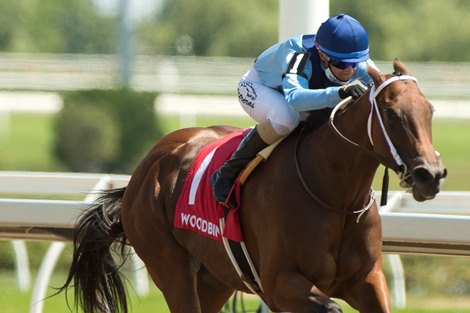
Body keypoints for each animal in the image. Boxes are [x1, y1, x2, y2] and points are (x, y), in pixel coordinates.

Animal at [60, 59, 446, 312]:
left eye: (430, 110)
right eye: (392, 114)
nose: (430, 174)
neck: (335, 195)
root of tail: (146, 167)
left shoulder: (366, 279)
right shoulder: (279, 283)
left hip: (213, 278)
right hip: (168, 264)